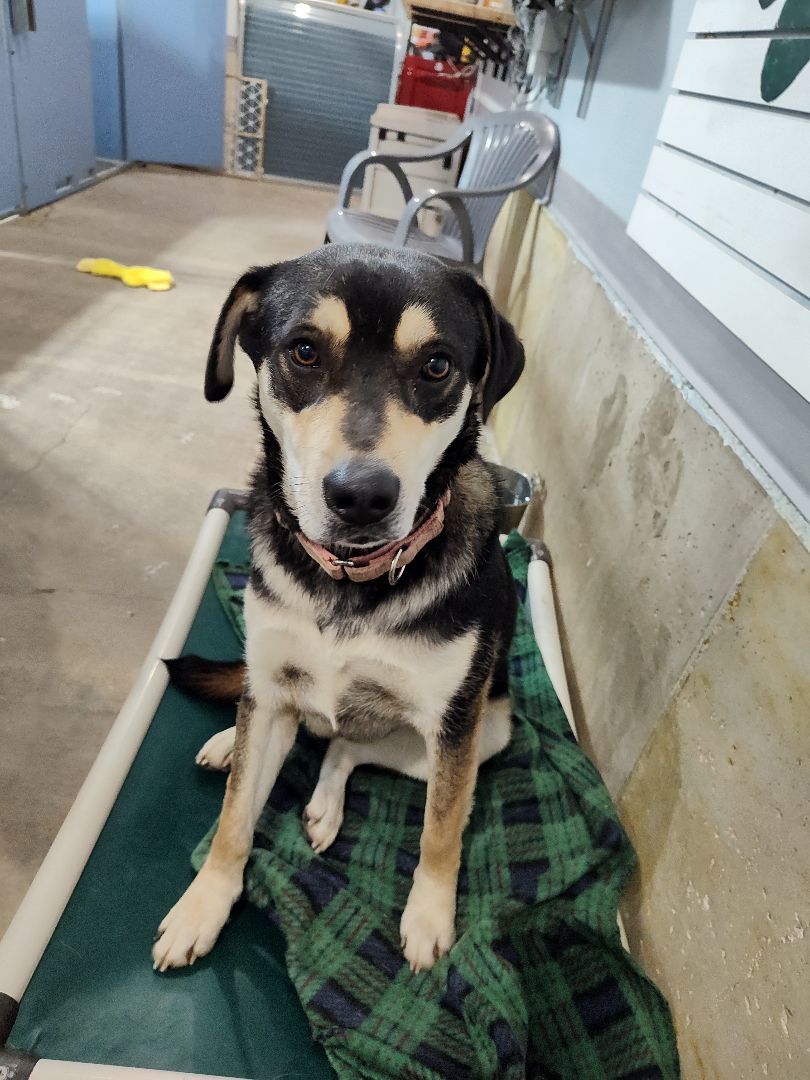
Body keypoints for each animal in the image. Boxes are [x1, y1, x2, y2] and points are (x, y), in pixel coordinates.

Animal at [155, 245, 527, 980]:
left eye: (437, 365)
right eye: (303, 351)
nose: (362, 497)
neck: (352, 582)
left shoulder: (454, 726)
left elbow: (442, 831)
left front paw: (431, 918)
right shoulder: (271, 687)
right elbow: (234, 819)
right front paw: (202, 906)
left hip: (487, 733)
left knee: (346, 746)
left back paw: (325, 804)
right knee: (287, 724)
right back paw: (229, 742)